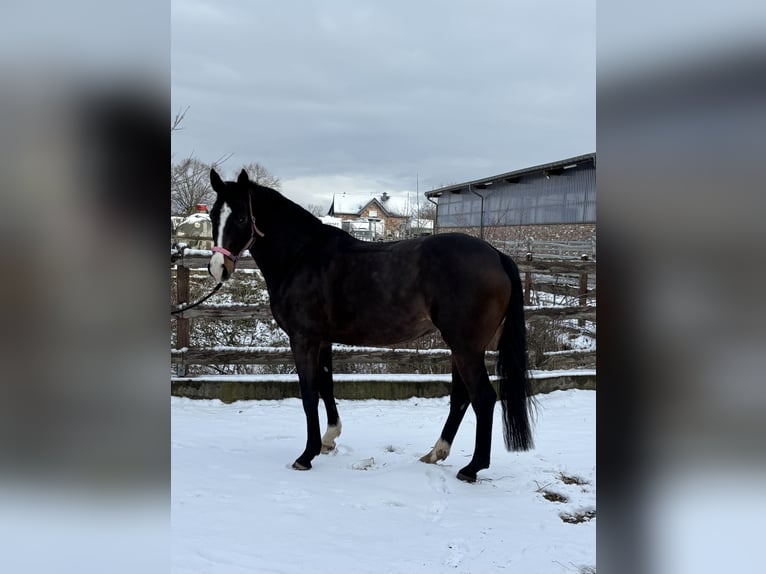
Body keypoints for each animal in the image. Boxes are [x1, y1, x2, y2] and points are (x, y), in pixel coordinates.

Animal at [208, 168, 534, 482]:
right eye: (212, 215)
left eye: (241, 217)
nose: (218, 269)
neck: (301, 256)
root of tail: (497, 255)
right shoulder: (323, 339)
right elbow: (326, 385)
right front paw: (328, 439)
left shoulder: (303, 339)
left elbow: (309, 394)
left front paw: (306, 455)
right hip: (462, 348)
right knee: (462, 397)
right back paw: (435, 453)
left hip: (465, 348)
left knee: (483, 398)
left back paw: (472, 468)